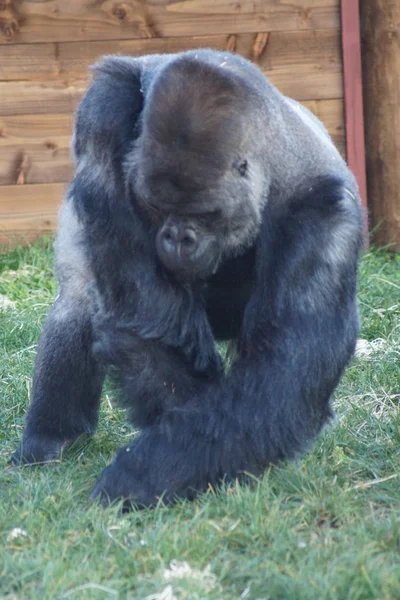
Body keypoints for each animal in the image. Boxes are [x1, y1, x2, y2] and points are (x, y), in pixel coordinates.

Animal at [11, 49, 362, 506]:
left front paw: (138, 476)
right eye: (157, 206)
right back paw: (51, 438)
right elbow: (140, 309)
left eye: (204, 212)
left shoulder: (324, 219)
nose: (178, 237)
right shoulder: (102, 117)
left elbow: (277, 383)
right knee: (80, 295)